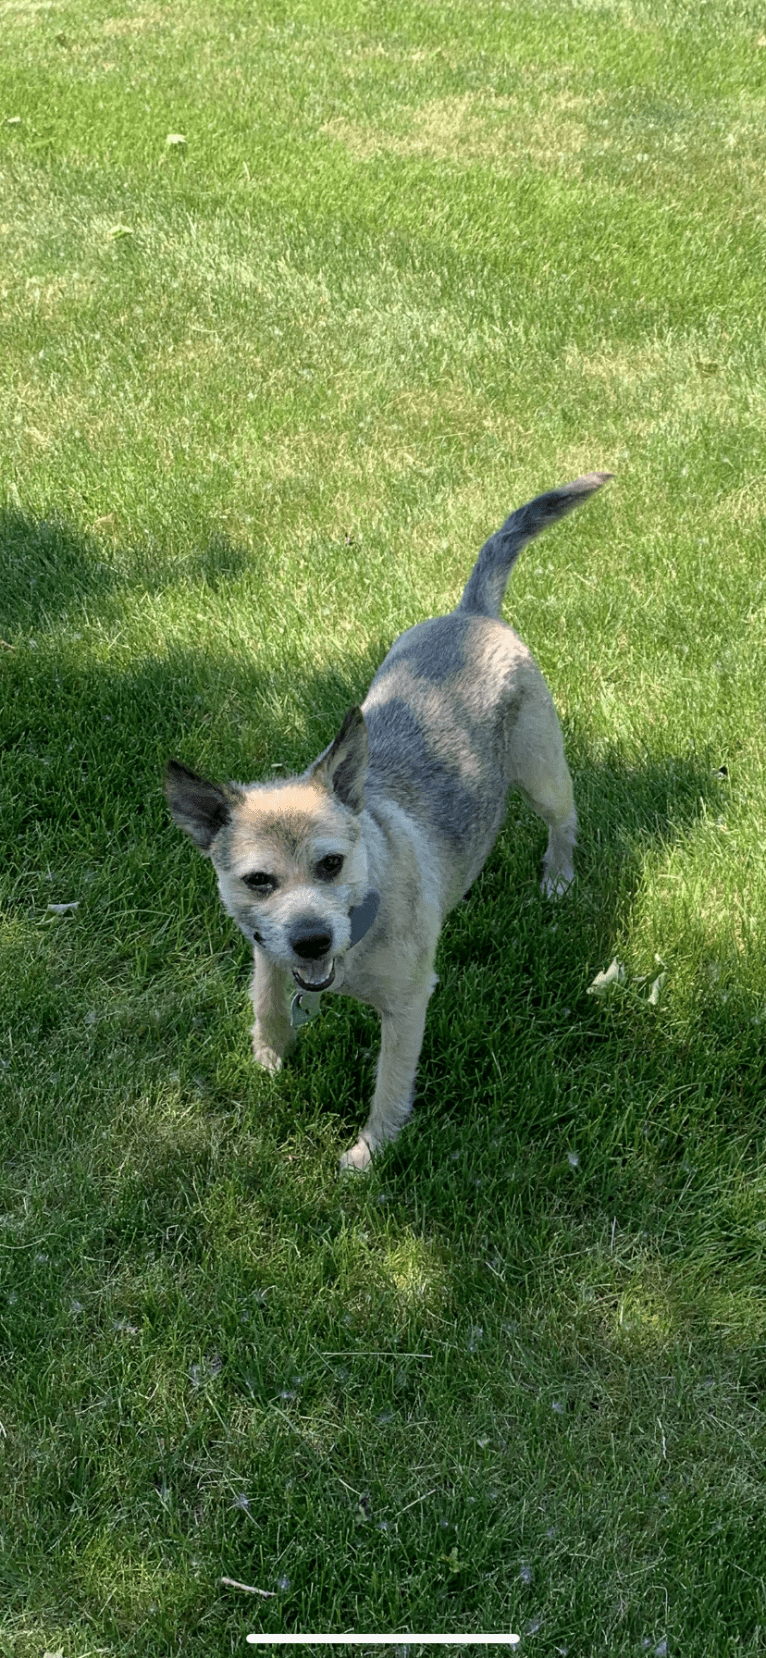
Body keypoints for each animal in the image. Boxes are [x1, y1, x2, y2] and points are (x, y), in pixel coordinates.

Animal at [165, 470, 610, 1167]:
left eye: (331, 863)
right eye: (258, 881)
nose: (311, 939)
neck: (359, 922)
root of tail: (472, 613)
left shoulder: (406, 1008)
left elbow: (390, 1086)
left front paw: (368, 1155)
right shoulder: (266, 952)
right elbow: (267, 1000)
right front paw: (269, 1056)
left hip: (542, 772)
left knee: (563, 822)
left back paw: (558, 879)